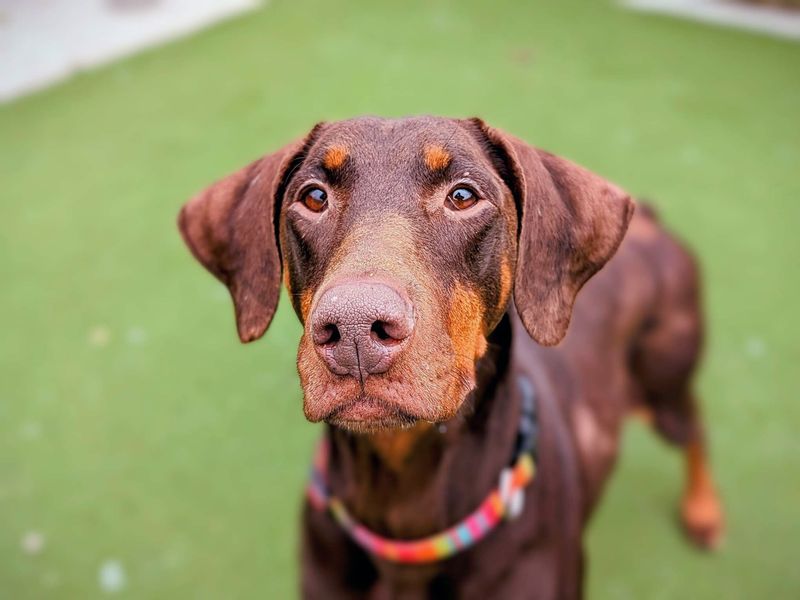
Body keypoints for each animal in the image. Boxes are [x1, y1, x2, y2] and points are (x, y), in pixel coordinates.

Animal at [180, 115, 724, 596]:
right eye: (313, 197)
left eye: (462, 196)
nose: (354, 329)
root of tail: (652, 221)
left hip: (664, 385)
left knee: (695, 426)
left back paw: (703, 511)